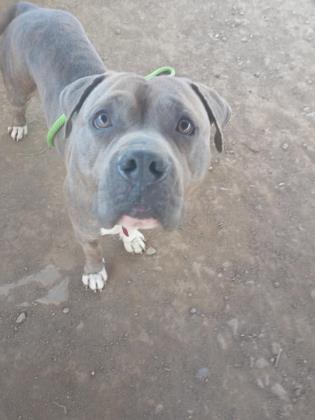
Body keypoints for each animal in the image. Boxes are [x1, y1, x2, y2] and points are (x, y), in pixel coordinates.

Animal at [0, 3, 232, 290]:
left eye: (185, 125)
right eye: (102, 119)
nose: (143, 163)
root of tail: (32, 8)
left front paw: (130, 236)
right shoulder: (83, 222)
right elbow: (91, 247)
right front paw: (94, 271)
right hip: (17, 84)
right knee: (17, 104)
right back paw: (18, 124)